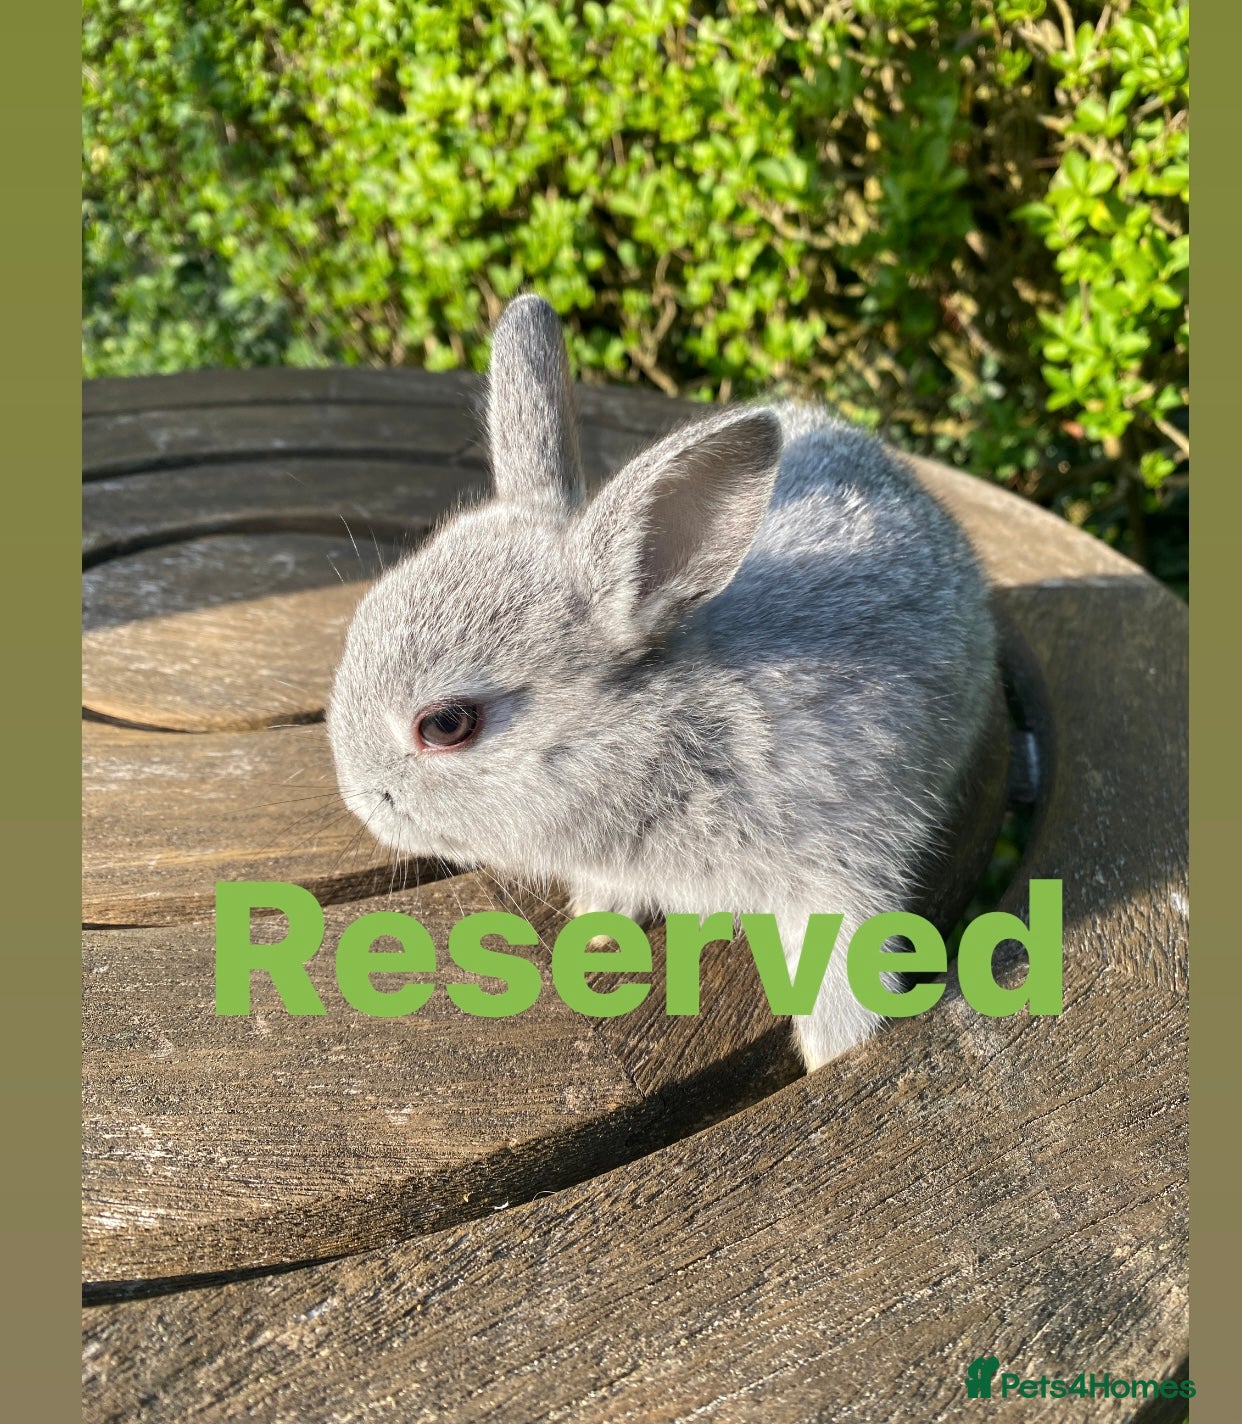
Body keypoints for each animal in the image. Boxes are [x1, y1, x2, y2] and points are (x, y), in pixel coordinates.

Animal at [327, 293, 998, 1071]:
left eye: (445, 725)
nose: (359, 799)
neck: (666, 740)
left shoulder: (837, 869)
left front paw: (838, 1056)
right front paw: (595, 929)